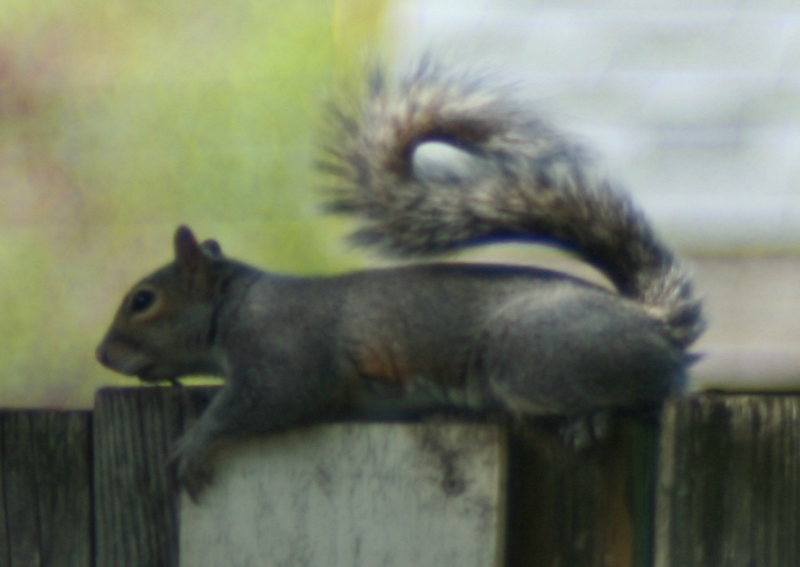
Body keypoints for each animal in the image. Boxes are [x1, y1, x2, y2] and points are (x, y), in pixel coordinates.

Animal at [96, 59, 704, 499]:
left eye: (143, 300)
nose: (103, 354)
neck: (239, 306)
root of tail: (650, 320)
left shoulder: (285, 358)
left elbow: (259, 400)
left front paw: (194, 443)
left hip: (531, 359)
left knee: (649, 392)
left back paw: (593, 418)